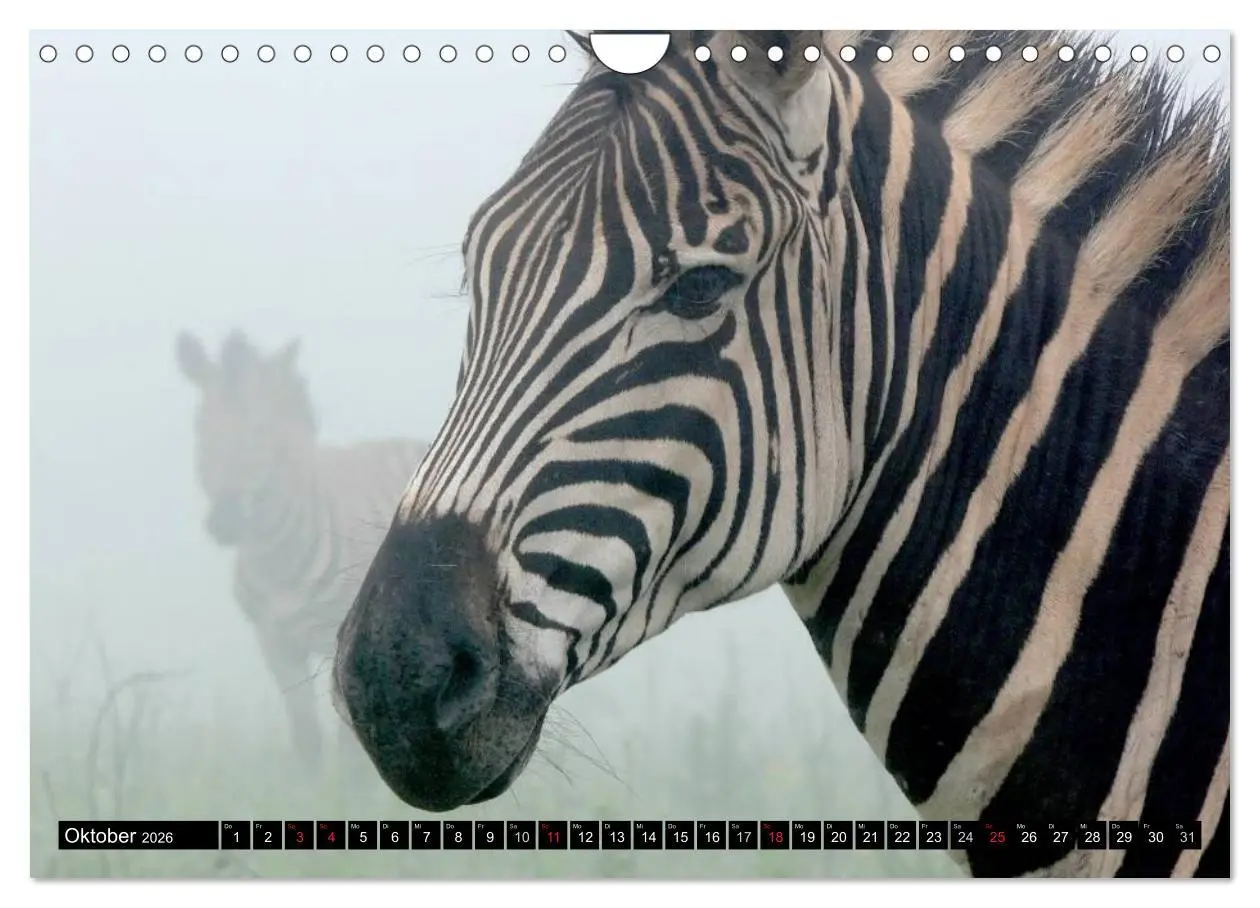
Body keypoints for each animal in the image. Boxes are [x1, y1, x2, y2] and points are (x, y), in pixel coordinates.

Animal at [176, 329, 428, 767]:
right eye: (201, 429)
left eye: (258, 431)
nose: (224, 523)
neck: (276, 560)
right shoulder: (274, 641)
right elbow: (307, 736)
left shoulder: (343, 643)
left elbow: (349, 750)